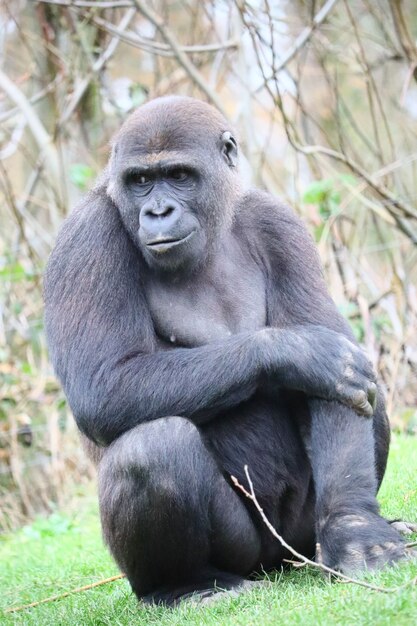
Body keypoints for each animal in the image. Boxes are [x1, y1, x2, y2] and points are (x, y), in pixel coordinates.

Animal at [44, 95, 406, 604]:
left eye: (179, 175)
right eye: (140, 181)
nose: (157, 211)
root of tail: (278, 563)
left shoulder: (279, 223)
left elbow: (342, 388)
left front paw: (356, 531)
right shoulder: (84, 237)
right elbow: (105, 383)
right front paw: (302, 353)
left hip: (295, 536)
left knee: (372, 395)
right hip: (245, 554)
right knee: (152, 449)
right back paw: (185, 585)